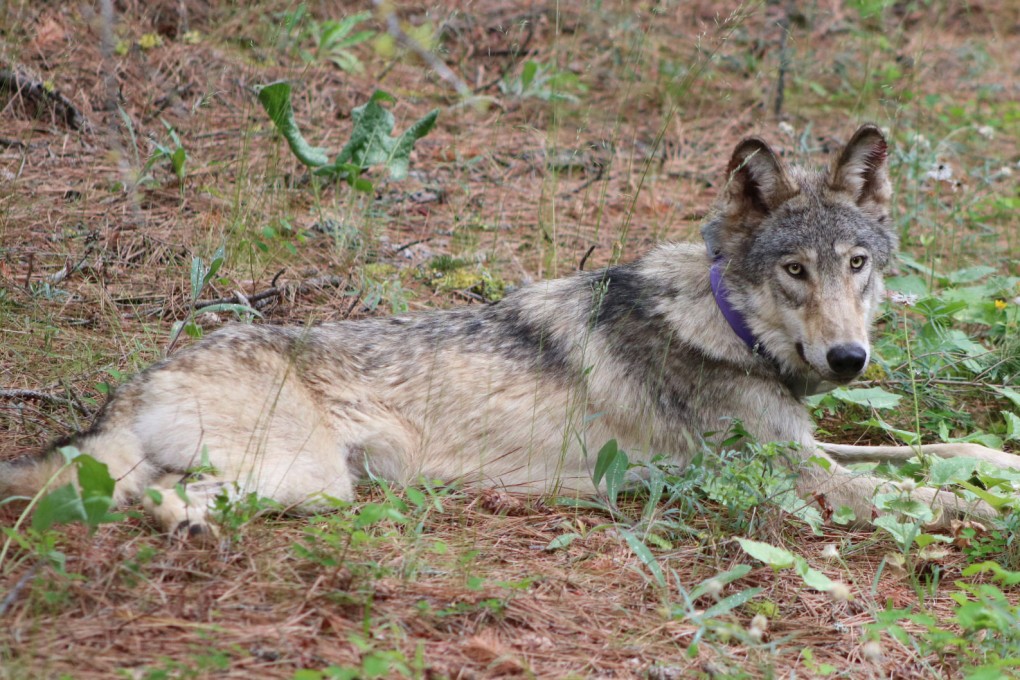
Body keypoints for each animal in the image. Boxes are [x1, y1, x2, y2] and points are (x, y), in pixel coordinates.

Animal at [2, 124, 1017, 537]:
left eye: (858, 264)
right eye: (794, 271)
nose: (849, 358)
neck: (723, 324)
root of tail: (135, 384)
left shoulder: (808, 449)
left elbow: (941, 449)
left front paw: (996, 464)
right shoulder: (791, 478)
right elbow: (916, 497)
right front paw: (987, 516)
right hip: (308, 480)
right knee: (149, 498)